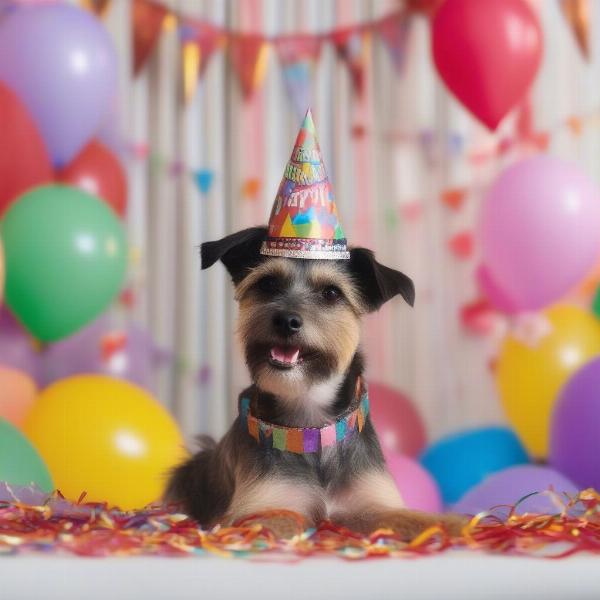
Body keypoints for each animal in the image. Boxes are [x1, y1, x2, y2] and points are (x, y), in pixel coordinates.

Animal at [164, 225, 464, 540]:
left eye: (331, 293)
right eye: (268, 284)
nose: (286, 320)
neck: (310, 424)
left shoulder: (370, 505)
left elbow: (420, 520)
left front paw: (459, 524)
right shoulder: (262, 509)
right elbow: (279, 522)